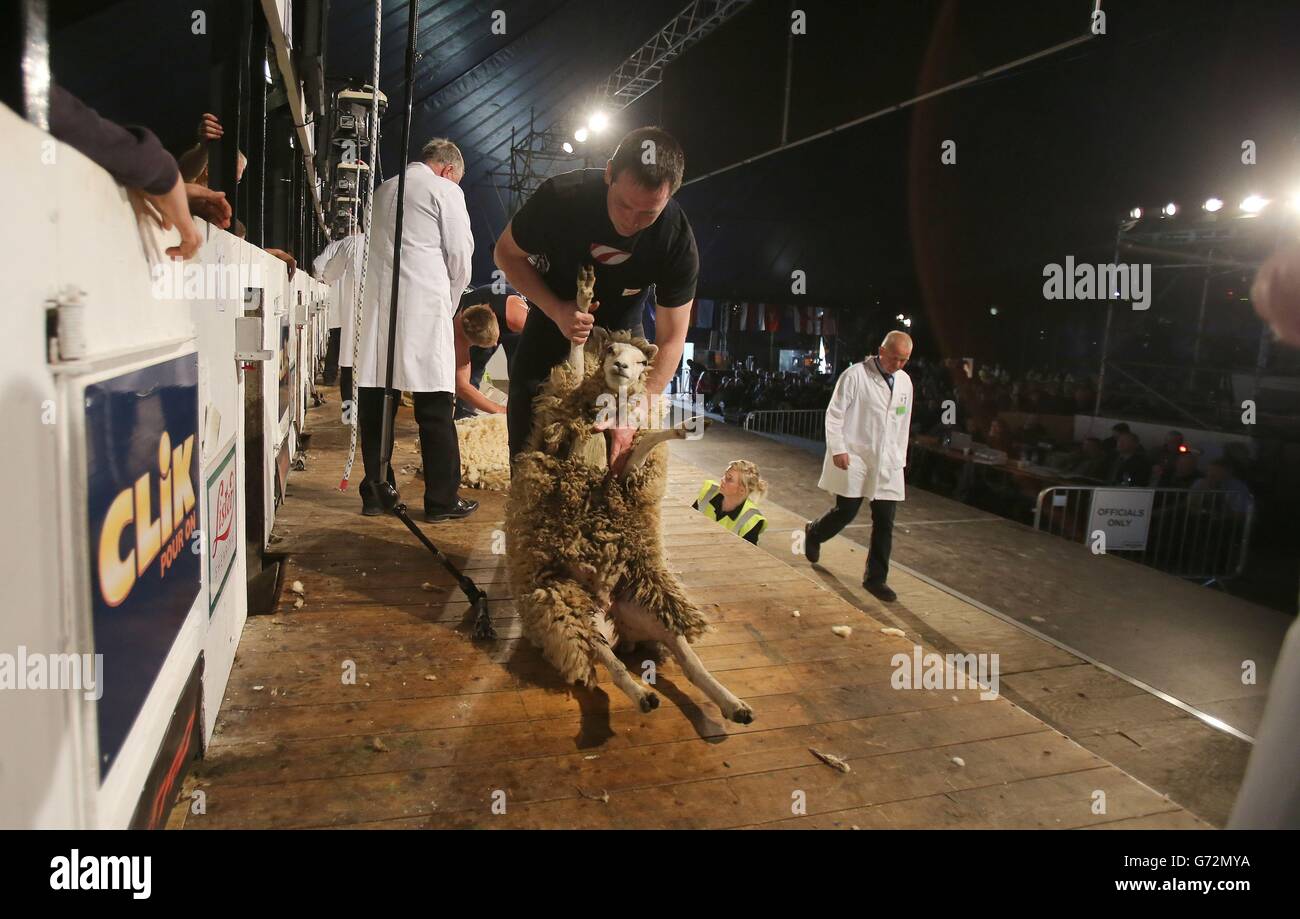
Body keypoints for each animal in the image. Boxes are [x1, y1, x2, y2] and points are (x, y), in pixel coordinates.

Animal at [504, 267, 759, 727]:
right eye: (612, 352)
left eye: (641, 361)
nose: (622, 365)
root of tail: (608, 610)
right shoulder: (567, 429)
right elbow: (574, 354)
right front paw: (583, 297)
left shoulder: (622, 473)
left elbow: (644, 443)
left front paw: (684, 426)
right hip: (565, 606)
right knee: (609, 663)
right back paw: (643, 697)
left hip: (647, 606)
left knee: (686, 659)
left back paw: (732, 705)